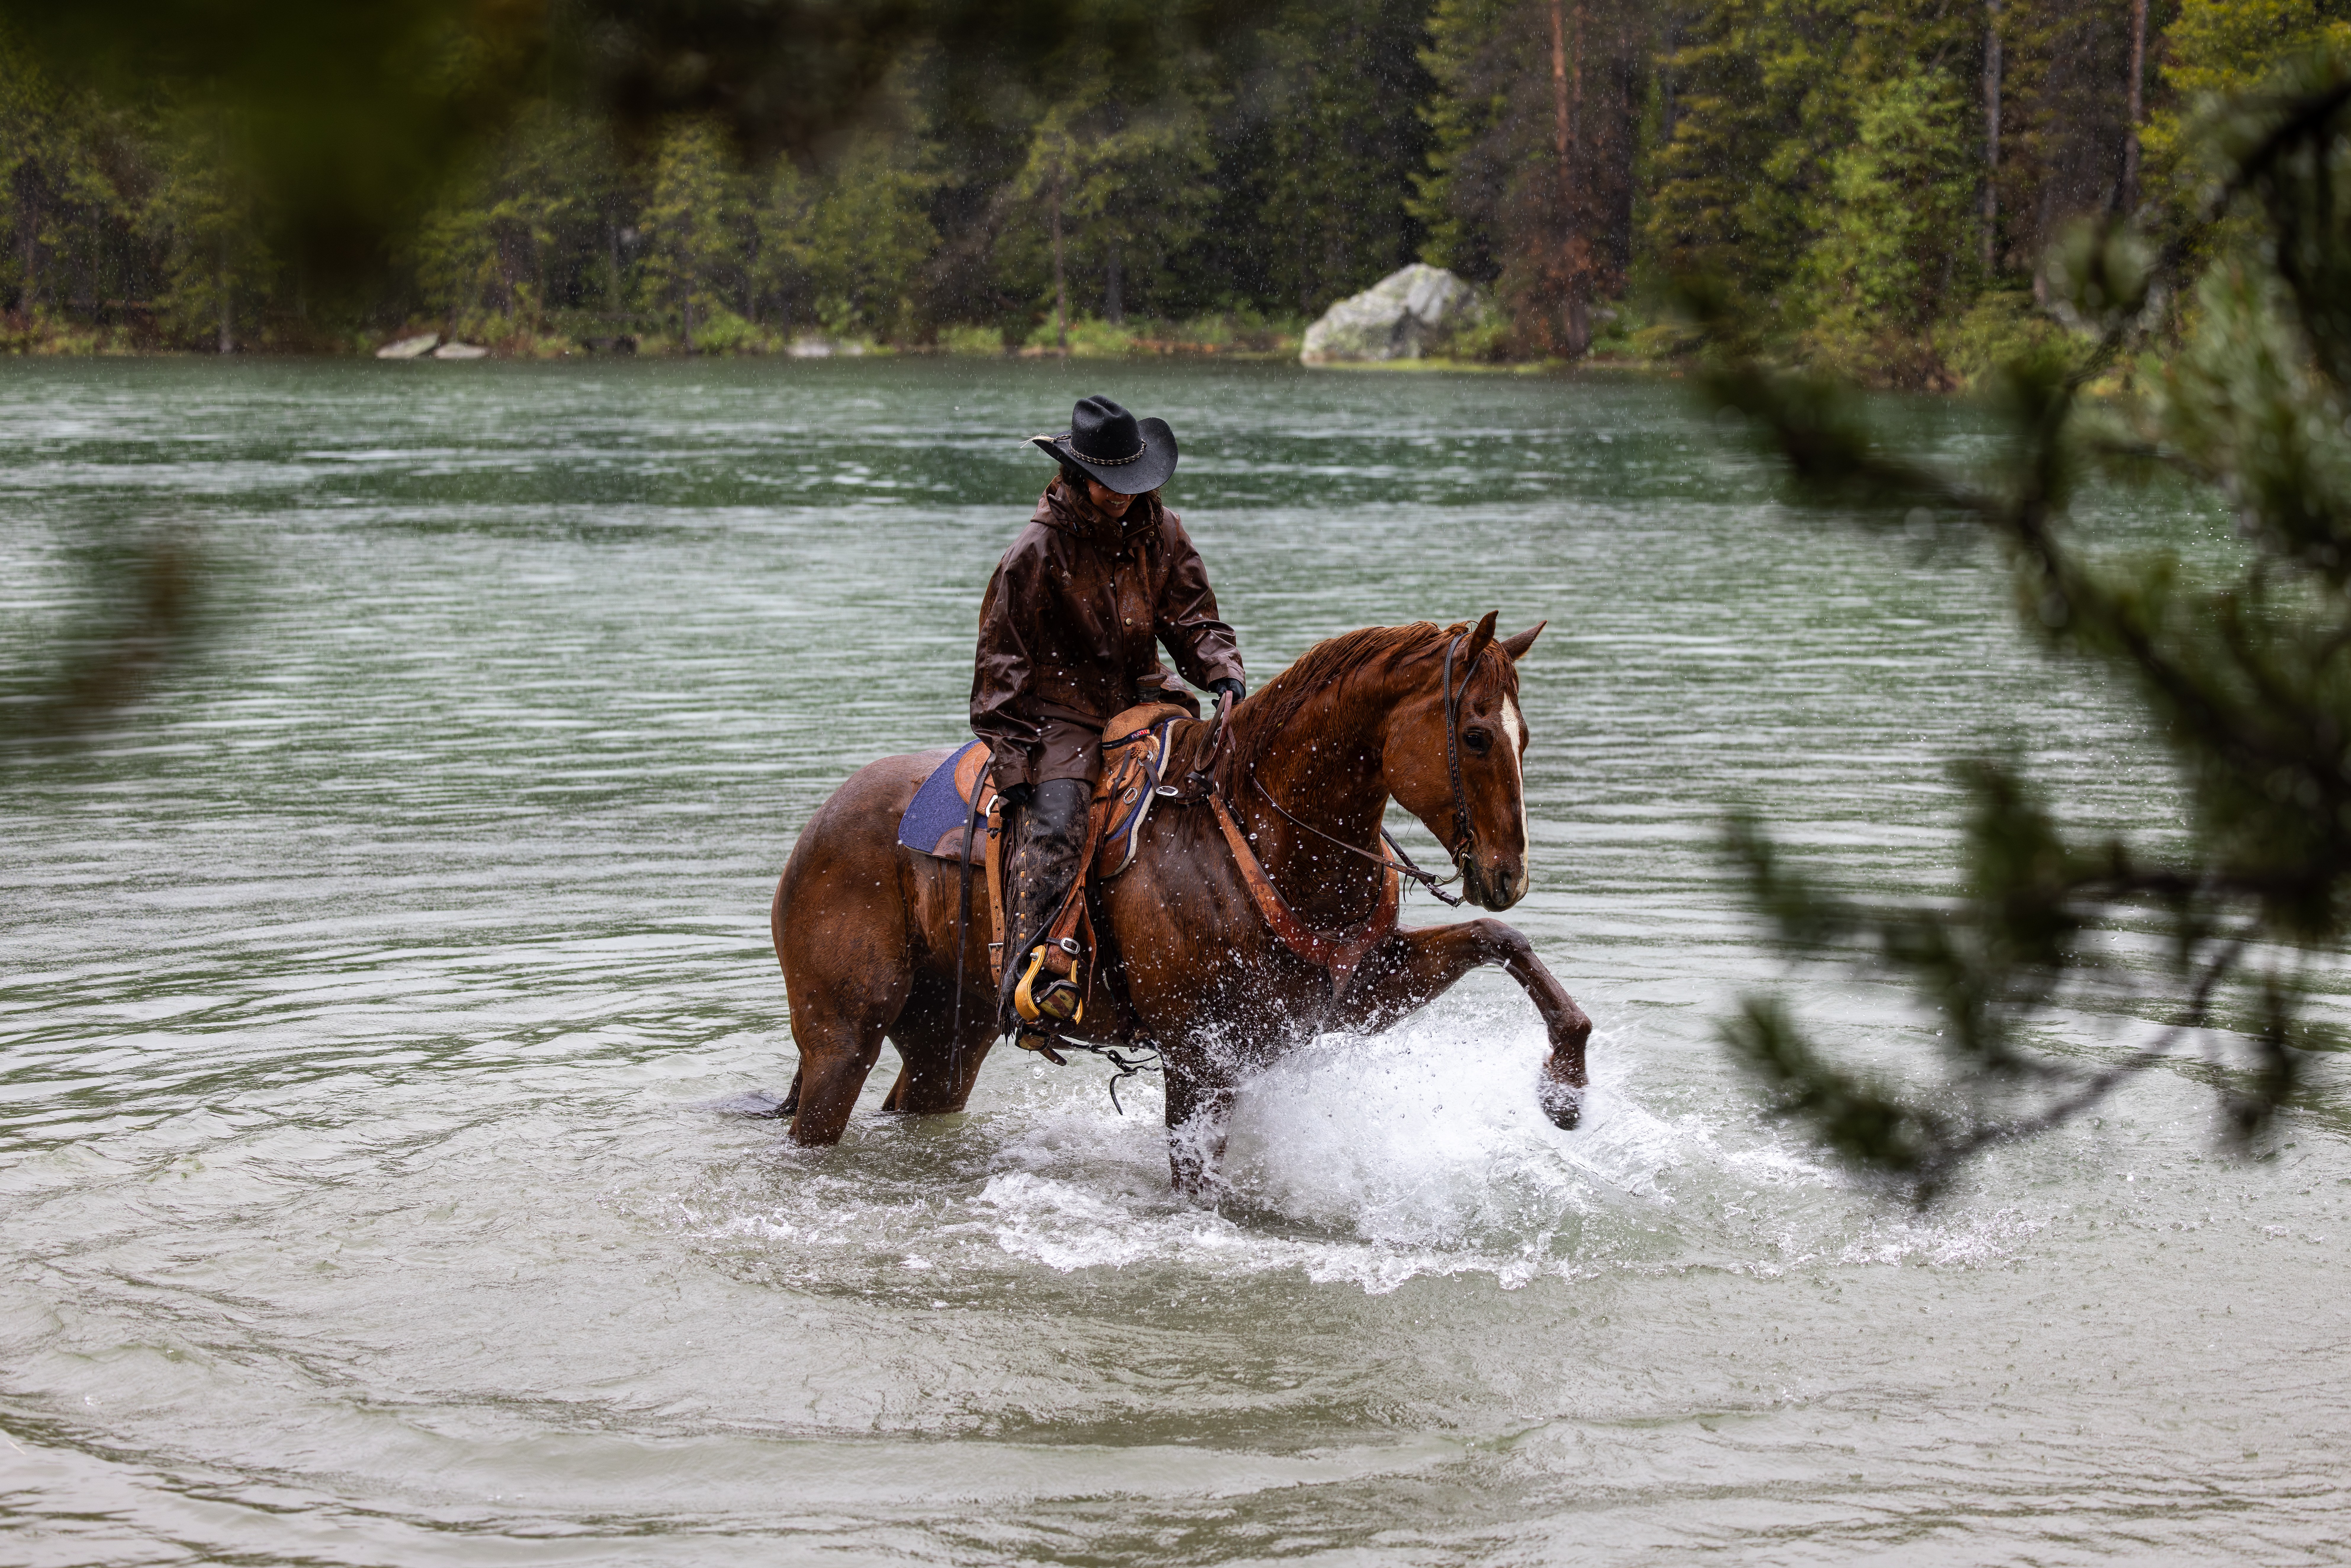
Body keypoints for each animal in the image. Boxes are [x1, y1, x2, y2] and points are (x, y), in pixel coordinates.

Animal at [768, 612, 1592, 1192]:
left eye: (1524, 735)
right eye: (1477, 735)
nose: (1508, 875)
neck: (1261, 834)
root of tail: (820, 823)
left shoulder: (1350, 994)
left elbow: (1499, 942)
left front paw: (1566, 1087)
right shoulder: (1198, 1059)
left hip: (948, 1036)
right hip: (842, 1035)